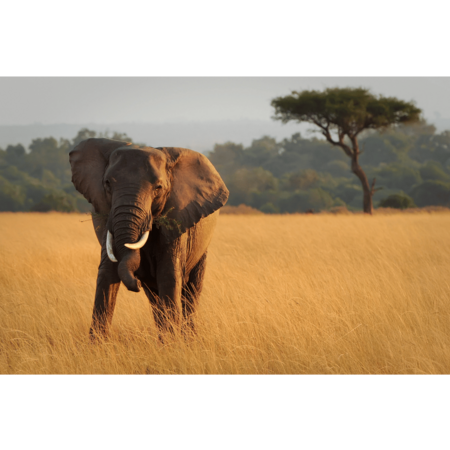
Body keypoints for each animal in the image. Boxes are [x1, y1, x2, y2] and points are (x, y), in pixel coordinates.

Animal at [69, 138, 229, 338]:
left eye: (158, 188)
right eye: (107, 183)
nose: (136, 282)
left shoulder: (178, 217)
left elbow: (169, 275)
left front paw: (173, 343)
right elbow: (107, 274)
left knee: (191, 291)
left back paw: (188, 338)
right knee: (154, 297)